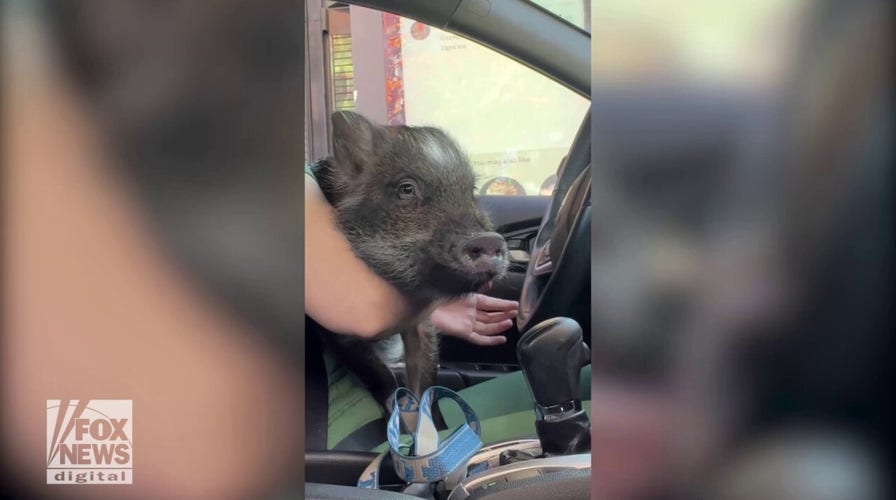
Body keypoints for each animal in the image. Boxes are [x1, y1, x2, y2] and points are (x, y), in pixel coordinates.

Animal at [308, 111, 508, 420]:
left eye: (472, 191)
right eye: (406, 188)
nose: (489, 239)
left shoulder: (421, 323)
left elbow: (427, 376)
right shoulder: (338, 328)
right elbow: (380, 376)